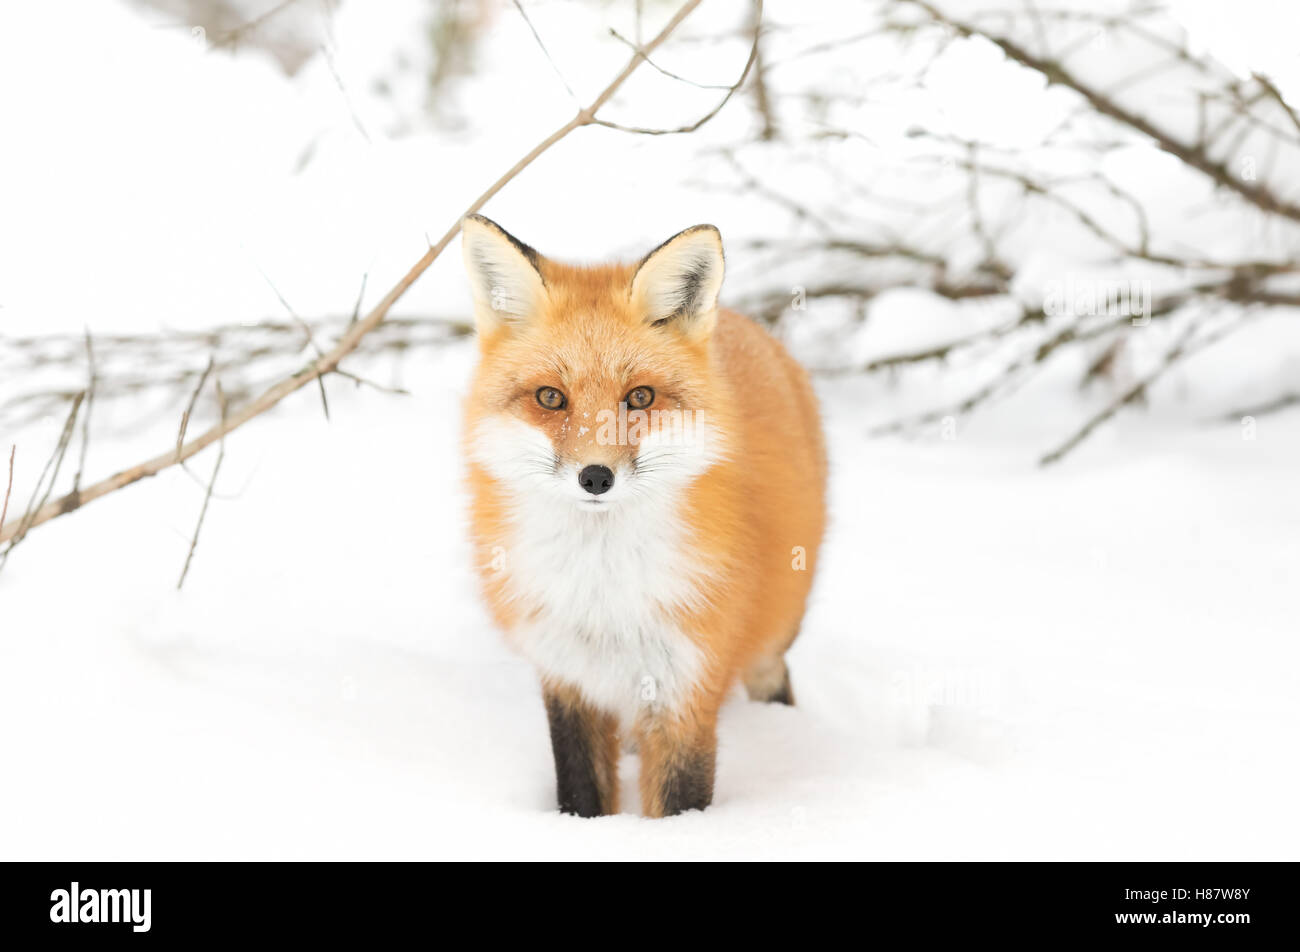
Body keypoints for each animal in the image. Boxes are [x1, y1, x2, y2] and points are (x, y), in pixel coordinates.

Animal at [460, 214, 826, 818]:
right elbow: (580, 790)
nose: (595, 477)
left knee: (774, 674)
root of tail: (747, 324)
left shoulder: (686, 683)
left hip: (773, 634)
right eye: (550, 397)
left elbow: (681, 800)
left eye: (640, 397)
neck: (604, 594)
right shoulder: (568, 677)